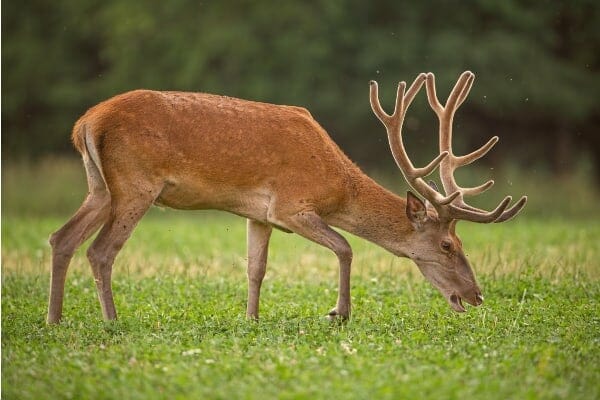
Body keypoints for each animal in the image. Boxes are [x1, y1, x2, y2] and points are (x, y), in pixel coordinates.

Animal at [47, 70, 524, 324]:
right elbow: (346, 246)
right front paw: (339, 314)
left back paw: (55, 319)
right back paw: (111, 322)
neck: (337, 185)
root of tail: (85, 122)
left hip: (100, 187)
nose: (477, 295)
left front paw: (251, 318)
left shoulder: (258, 215)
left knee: (61, 238)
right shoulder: (292, 206)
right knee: (101, 250)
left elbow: (255, 268)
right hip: (135, 183)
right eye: (448, 245)